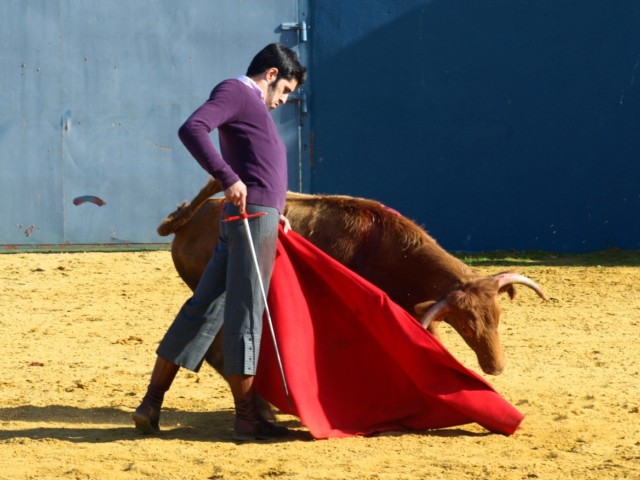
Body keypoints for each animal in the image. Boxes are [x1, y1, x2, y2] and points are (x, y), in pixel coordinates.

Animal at [160, 177, 544, 376]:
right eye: (465, 324)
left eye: (498, 316)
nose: (496, 367)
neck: (392, 251)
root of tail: (188, 222)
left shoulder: (420, 311)